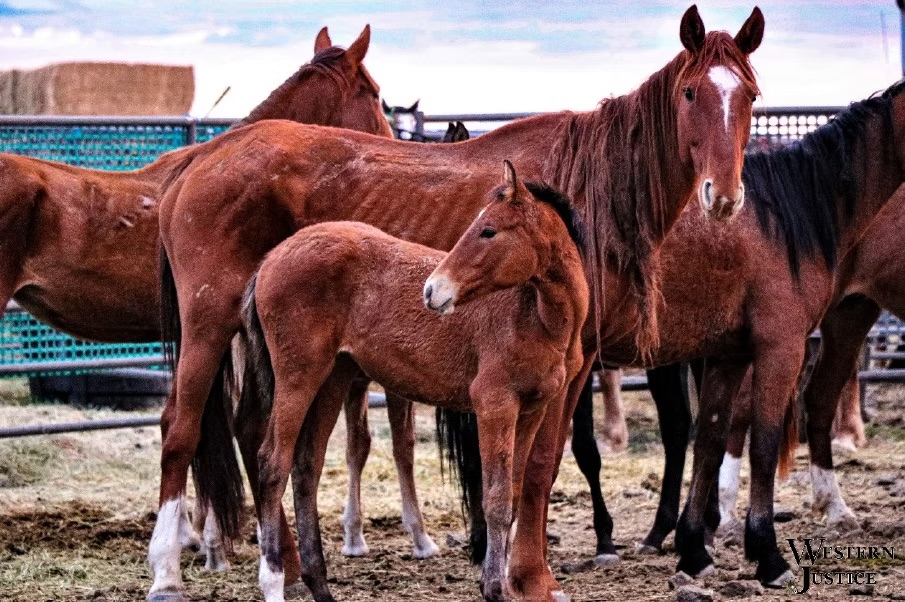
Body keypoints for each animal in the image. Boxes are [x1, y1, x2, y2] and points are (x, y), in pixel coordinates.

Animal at [242, 162, 587, 602]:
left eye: (488, 231)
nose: (432, 291)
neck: (536, 317)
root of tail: (271, 257)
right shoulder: (494, 405)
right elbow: (494, 499)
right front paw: (494, 588)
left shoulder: (531, 410)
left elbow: (511, 493)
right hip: (298, 377)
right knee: (273, 463)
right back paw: (272, 580)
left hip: (332, 380)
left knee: (306, 469)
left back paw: (321, 586)